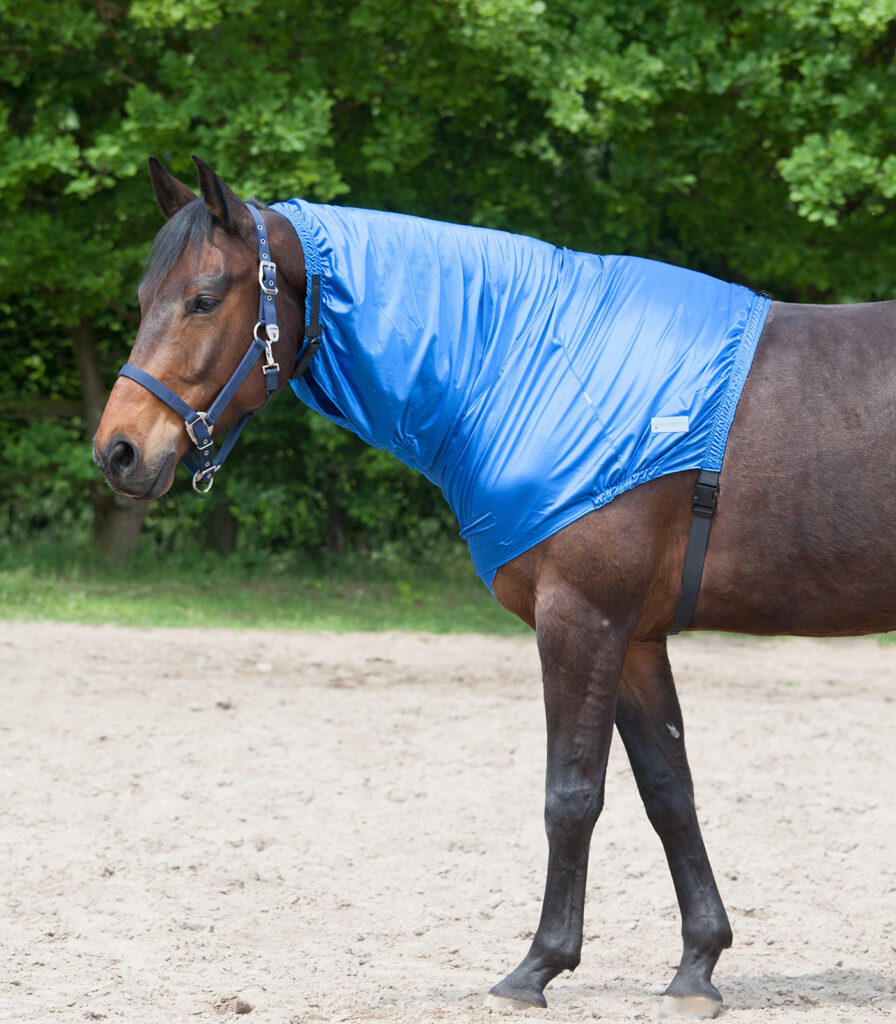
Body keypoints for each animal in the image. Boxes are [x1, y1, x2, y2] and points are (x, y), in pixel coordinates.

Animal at [92, 155, 896, 1019]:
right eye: (142, 298)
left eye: (205, 298)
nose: (119, 451)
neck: (523, 357)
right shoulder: (636, 639)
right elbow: (668, 793)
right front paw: (697, 966)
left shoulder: (583, 620)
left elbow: (571, 796)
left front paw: (537, 967)